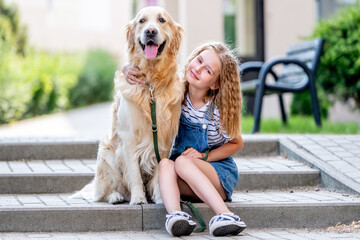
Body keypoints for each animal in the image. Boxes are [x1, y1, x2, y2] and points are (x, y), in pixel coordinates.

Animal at [73, 6, 186, 204]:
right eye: (142, 21)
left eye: (161, 20)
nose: (150, 31)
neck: (151, 83)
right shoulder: (129, 138)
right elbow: (134, 174)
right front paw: (138, 199)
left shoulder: (164, 140)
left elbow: (160, 172)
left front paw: (159, 197)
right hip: (106, 154)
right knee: (105, 191)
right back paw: (115, 196)